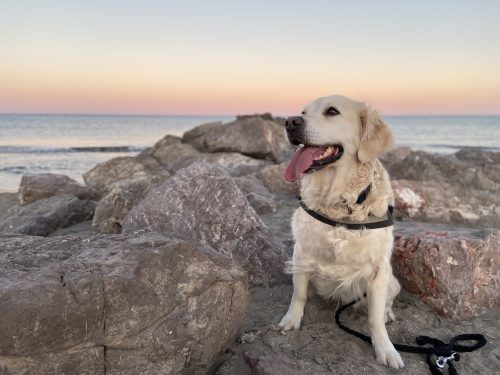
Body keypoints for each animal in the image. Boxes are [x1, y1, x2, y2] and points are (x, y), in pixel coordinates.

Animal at [280, 94, 404, 370]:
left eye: (332, 111)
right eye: (303, 112)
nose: (290, 122)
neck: (340, 204)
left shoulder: (378, 271)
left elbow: (374, 318)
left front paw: (385, 349)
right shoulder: (301, 255)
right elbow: (298, 294)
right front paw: (292, 320)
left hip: (392, 281)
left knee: (386, 304)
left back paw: (388, 313)